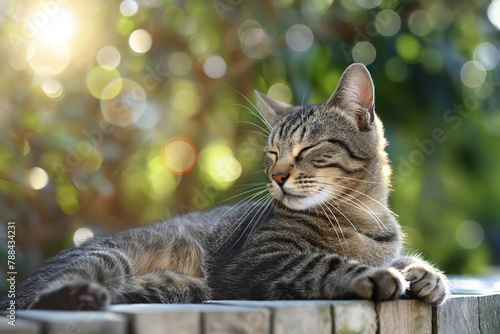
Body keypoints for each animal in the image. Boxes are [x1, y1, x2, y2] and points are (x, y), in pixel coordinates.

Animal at [0, 63, 452, 310]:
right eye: (272, 153)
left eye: (307, 148)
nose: (277, 176)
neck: (361, 215)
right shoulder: (259, 259)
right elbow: (326, 263)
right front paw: (376, 274)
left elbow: (396, 257)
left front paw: (424, 273)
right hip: (108, 259)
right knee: (40, 299)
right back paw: (79, 296)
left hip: (181, 286)